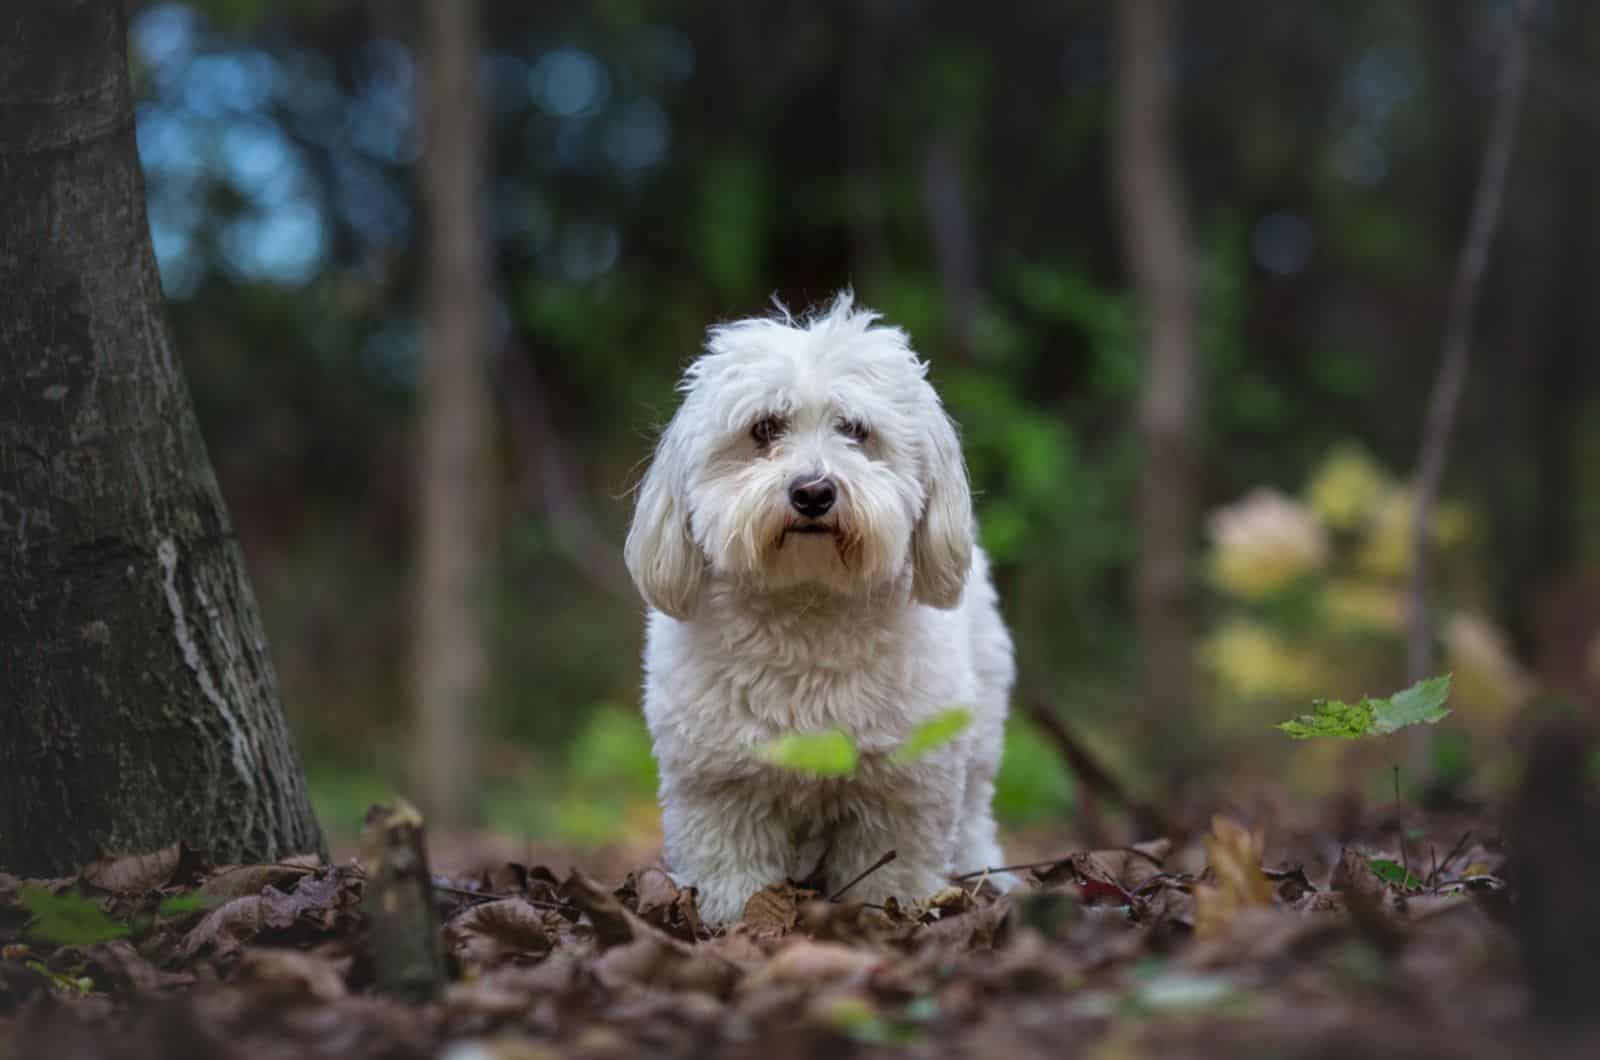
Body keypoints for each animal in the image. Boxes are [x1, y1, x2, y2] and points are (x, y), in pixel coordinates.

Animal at [624, 294, 1011, 928]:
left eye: (855, 429)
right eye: (764, 428)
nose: (813, 492)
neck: (809, 605)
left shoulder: (904, 781)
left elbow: (893, 867)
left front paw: (890, 912)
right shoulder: (720, 783)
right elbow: (732, 864)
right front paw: (734, 917)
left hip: (979, 731)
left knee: (977, 809)